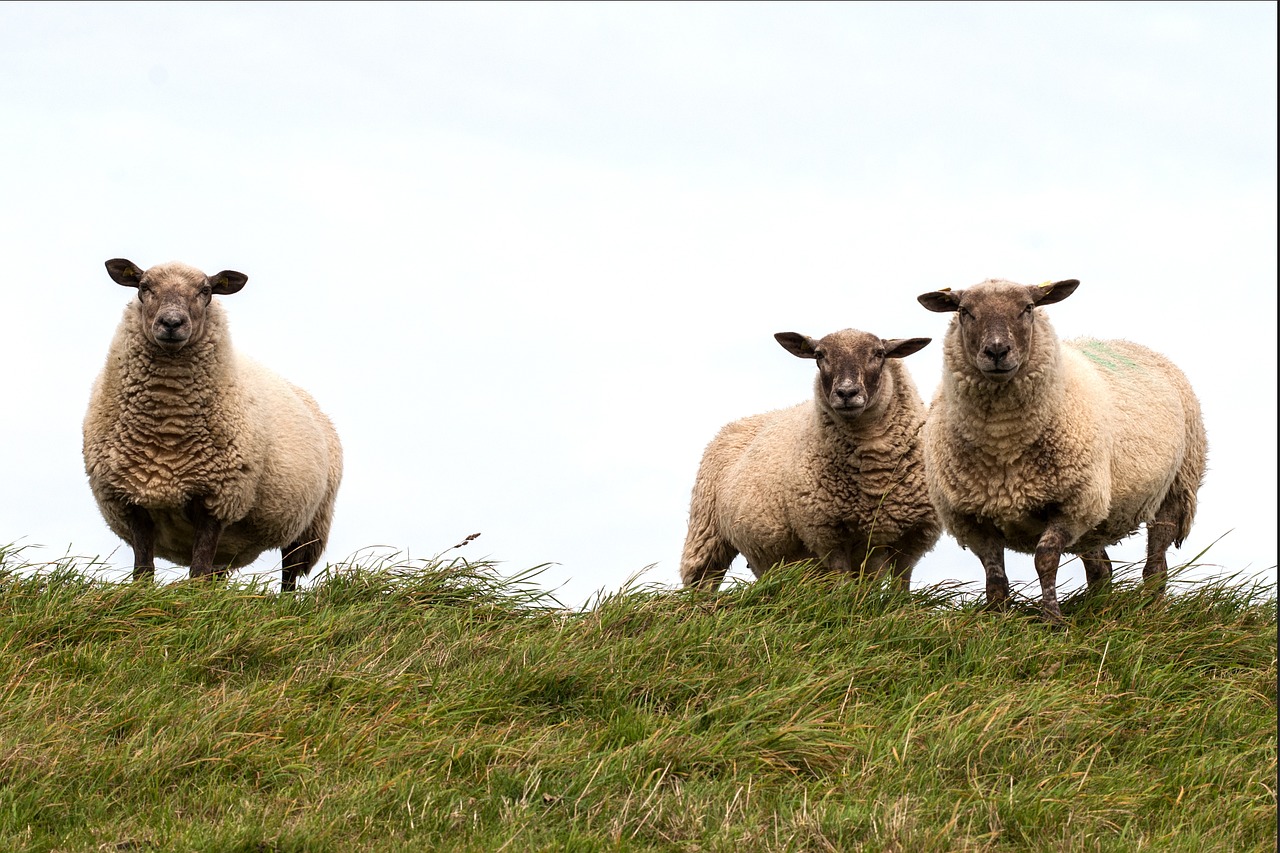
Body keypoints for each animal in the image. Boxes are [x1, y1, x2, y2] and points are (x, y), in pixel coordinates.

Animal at [84, 258, 345, 591]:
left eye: (206, 290)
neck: (166, 435)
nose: (172, 323)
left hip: (308, 525)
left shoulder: (217, 501)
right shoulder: (132, 502)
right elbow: (143, 571)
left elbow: (197, 572)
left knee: (289, 574)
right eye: (144, 286)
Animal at [680, 326, 942, 591]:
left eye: (879, 353)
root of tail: (734, 424)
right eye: (819, 355)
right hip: (706, 535)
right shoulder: (828, 532)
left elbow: (901, 587)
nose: (846, 393)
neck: (874, 472)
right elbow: (843, 585)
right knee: (702, 583)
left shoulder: (913, 536)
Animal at [916, 281, 1203, 622]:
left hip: (1174, 488)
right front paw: (996, 618)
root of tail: (1134, 344)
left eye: (1028, 308)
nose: (997, 351)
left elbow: (1045, 559)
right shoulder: (970, 518)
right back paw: (1098, 609)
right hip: (1097, 517)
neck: (1002, 444)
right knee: (1101, 569)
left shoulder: (1072, 503)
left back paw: (1153, 611)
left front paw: (1052, 619)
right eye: (964, 311)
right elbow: (995, 576)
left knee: (1156, 562)